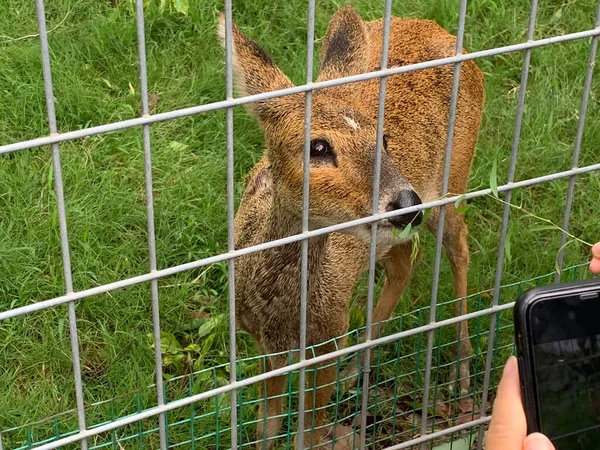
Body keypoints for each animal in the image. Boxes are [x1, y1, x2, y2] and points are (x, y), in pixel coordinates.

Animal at [218, 5, 486, 448]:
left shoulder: (330, 335)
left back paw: (461, 376)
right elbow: (265, 428)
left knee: (459, 244)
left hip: (452, 181)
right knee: (404, 265)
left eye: (383, 139)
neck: (283, 313)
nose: (407, 203)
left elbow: (308, 433)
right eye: (318, 146)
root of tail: (441, 31)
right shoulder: (265, 346)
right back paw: (356, 370)